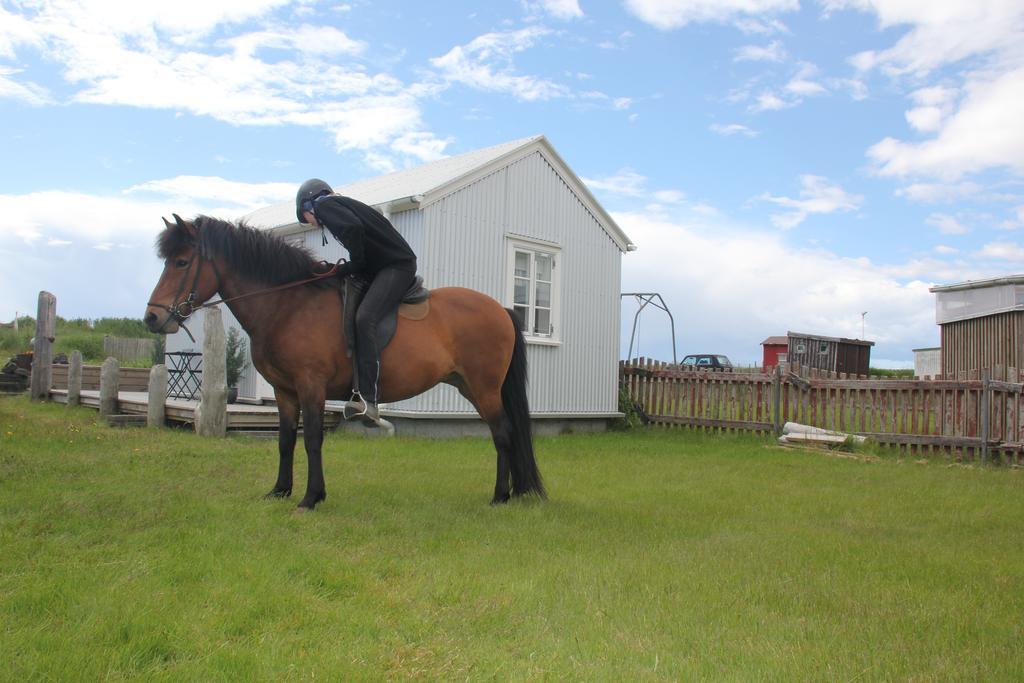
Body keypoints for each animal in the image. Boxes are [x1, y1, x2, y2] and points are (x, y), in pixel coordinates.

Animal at [145, 216, 548, 509]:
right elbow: (286, 441)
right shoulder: (284, 391)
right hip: (469, 387)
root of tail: (501, 309)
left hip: (485, 388)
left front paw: (311, 497)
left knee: (503, 434)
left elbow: (312, 440)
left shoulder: (311, 386)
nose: (152, 318)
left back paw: (500, 496)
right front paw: (280, 490)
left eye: (181, 262)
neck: (289, 305)